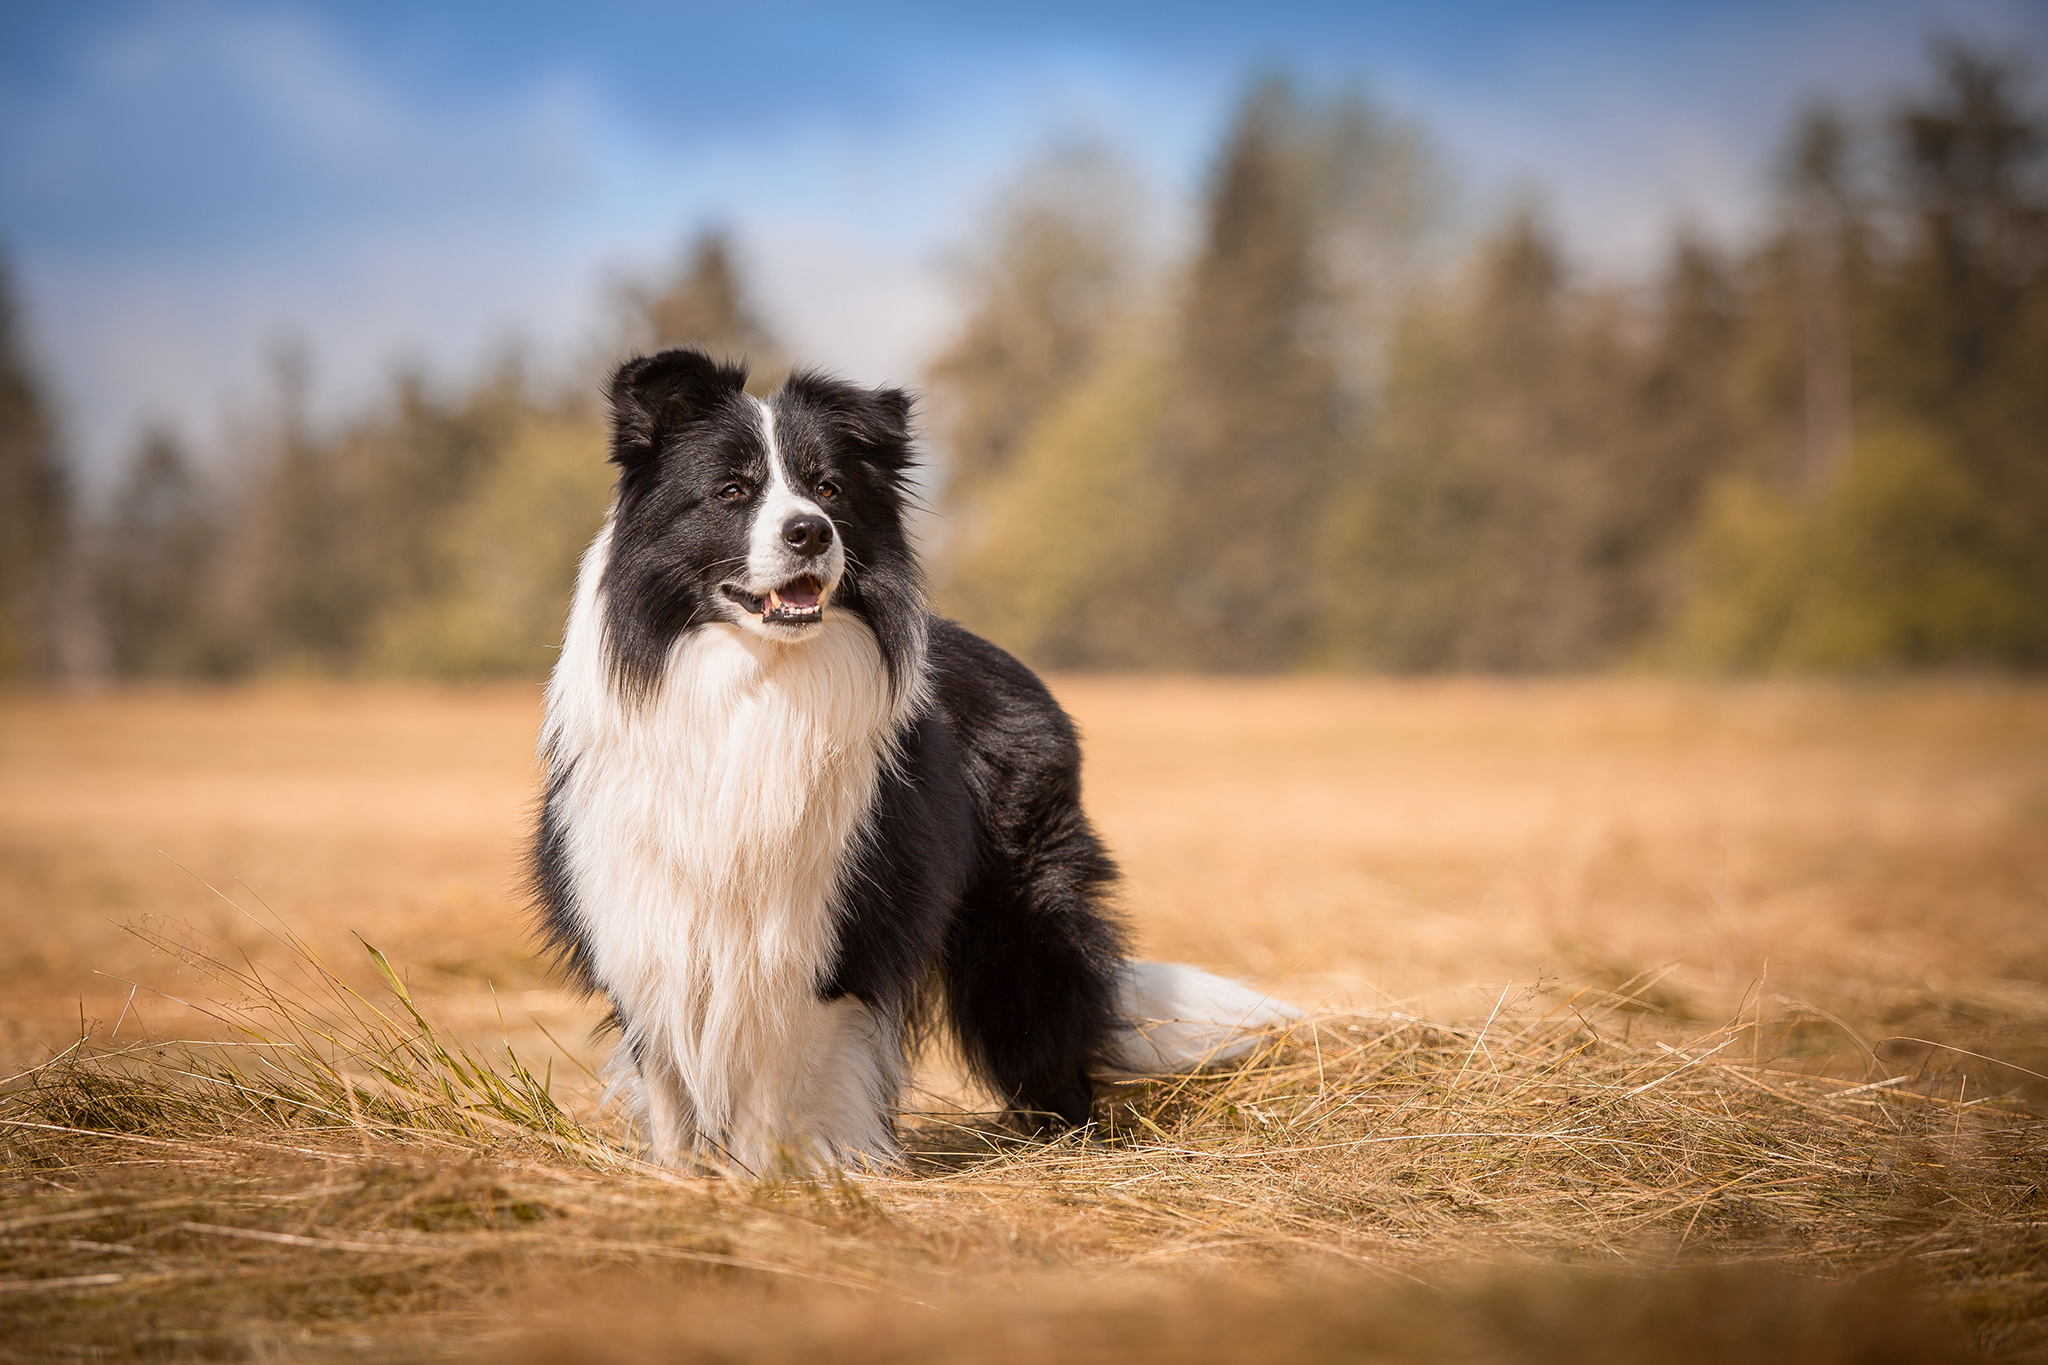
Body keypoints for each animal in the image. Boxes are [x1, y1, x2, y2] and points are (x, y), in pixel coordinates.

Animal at [528, 347, 1294, 1170]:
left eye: (829, 489)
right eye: (732, 490)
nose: (810, 532)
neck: (758, 682)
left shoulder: (829, 928)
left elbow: (786, 1073)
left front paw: (778, 1173)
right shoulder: (642, 915)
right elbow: (669, 1077)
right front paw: (684, 1176)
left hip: (1022, 924)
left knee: (1049, 1028)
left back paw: (1069, 1139)